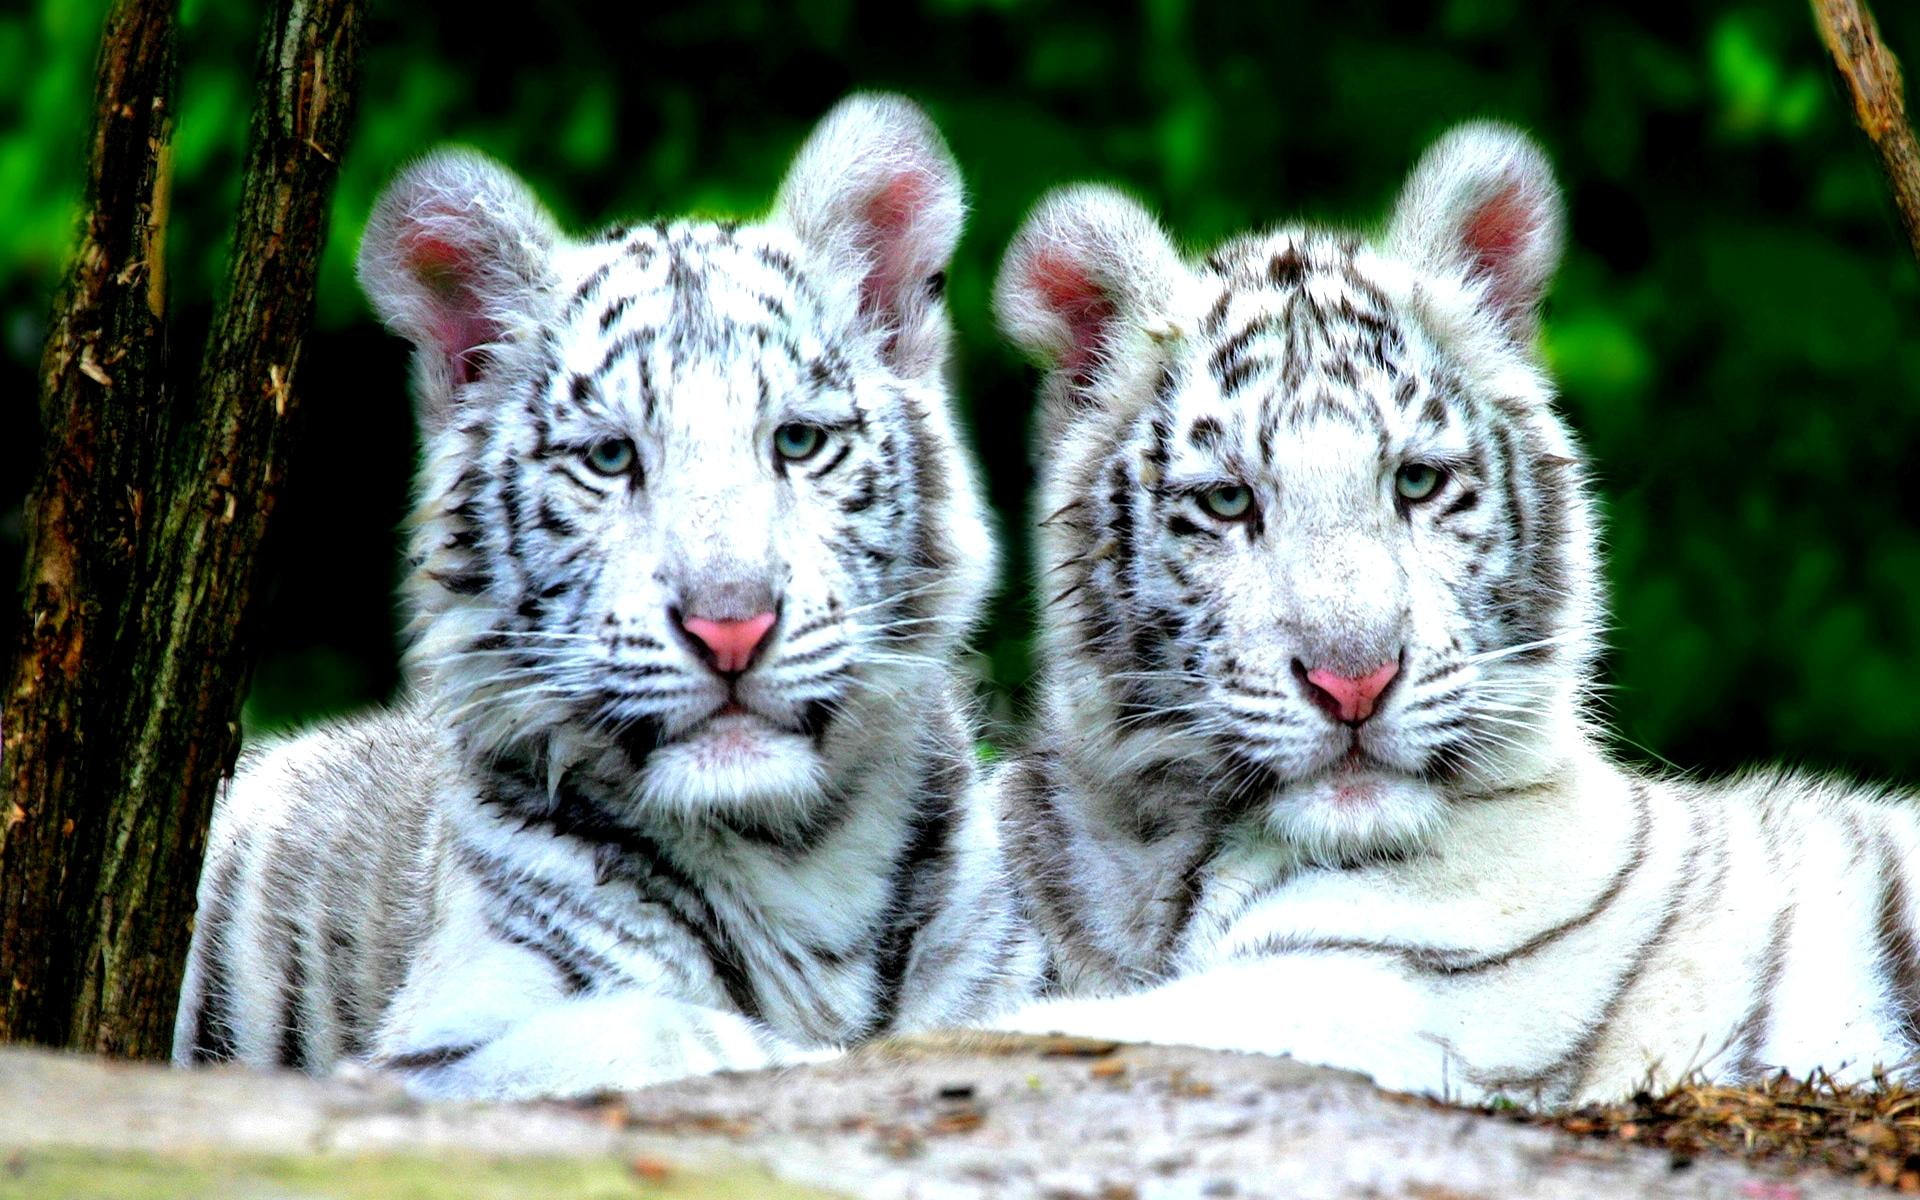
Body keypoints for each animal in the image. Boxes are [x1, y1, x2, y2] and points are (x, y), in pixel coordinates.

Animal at [171, 94, 1041, 1100]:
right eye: (611, 457)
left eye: (796, 442)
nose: (731, 625)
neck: (797, 857)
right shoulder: (429, 1055)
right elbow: (666, 1030)